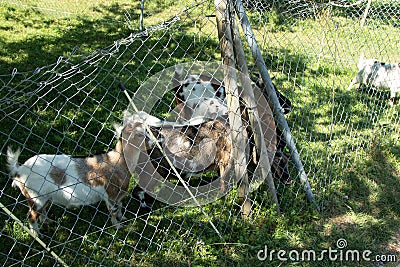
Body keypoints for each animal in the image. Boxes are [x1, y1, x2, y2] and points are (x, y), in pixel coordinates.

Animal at [6, 124, 134, 238]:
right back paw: (37, 235)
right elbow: (113, 211)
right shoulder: (110, 196)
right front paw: (118, 226)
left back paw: (47, 221)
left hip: (44, 197)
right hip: (36, 197)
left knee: (41, 212)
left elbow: (120, 206)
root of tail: (19, 170)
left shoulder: (119, 195)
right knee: (31, 217)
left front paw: (123, 218)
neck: (116, 161)